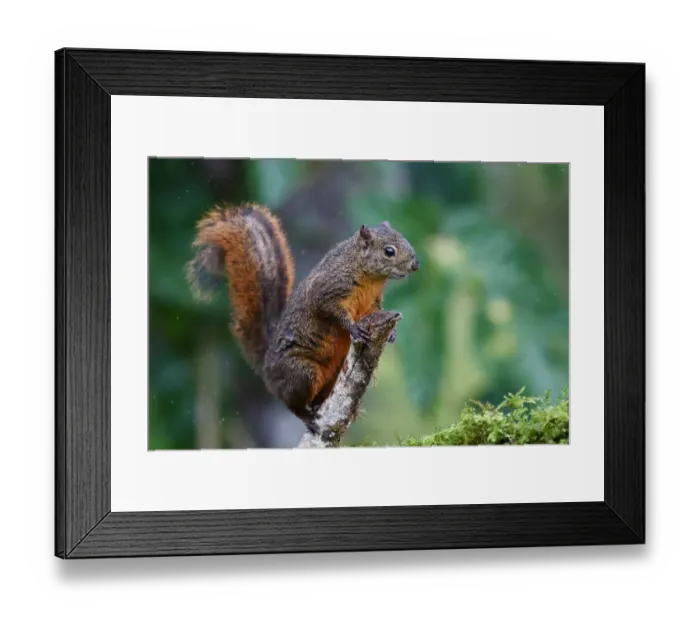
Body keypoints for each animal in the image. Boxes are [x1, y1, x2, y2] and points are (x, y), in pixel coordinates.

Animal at [185, 202, 420, 431]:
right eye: (389, 251)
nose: (415, 265)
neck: (368, 275)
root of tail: (266, 367)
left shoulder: (372, 303)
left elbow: (374, 313)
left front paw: (392, 334)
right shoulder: (327, 290)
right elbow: (331, 311)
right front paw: (354, 328)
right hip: (301, 373)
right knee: (292, 403)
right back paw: (307, 417)